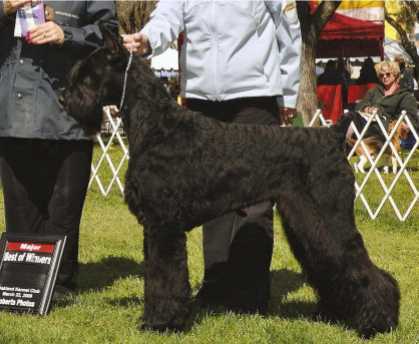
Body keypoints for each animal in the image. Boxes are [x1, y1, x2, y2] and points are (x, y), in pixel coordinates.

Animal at [64, 27, 402, 338]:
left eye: (88, 76)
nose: (65, 100)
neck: (159, 127)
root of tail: (334, 135)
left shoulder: (164, 225)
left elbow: (165, 276)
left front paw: (162, 323)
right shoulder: (153, 227)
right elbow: (154, 275)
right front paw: (155, 318)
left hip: (329, 218)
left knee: (363, 267)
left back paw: (377, 322)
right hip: (304, 221)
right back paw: (339, 314)